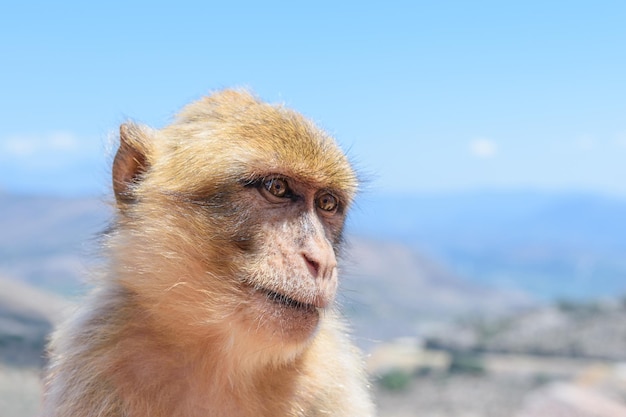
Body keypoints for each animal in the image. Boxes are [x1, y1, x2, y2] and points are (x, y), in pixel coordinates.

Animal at [42, 89, 376, 414]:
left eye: (327, 203)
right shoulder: (98, 359)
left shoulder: (327, 380)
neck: (222, 365)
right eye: (277, 187)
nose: (323, 261)